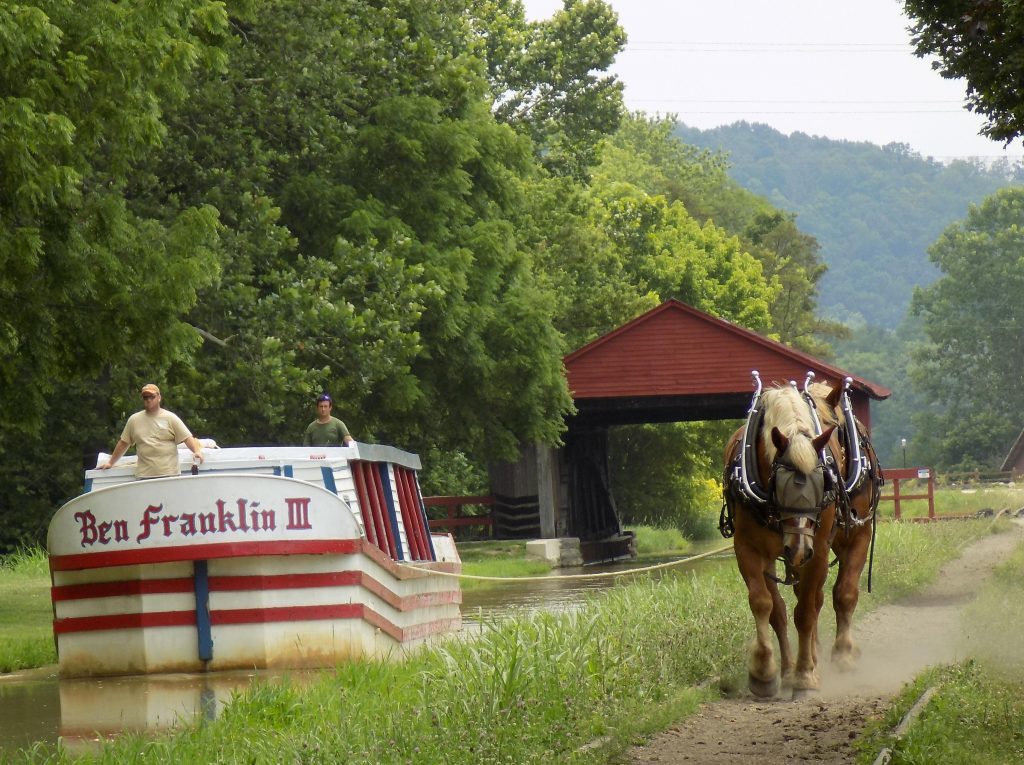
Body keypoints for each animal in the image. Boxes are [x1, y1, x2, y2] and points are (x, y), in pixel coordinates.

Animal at [721, 377, 840, 697]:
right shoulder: (748, 549)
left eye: (823, 481)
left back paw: (809, 663)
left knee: (812, 602)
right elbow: (764, 604)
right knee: (780, 610)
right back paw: (786, 670)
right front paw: (763, 672)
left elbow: (806, 612)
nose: (797, 549)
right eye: (779, 482)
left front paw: (805, 675)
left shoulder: (817, 551)